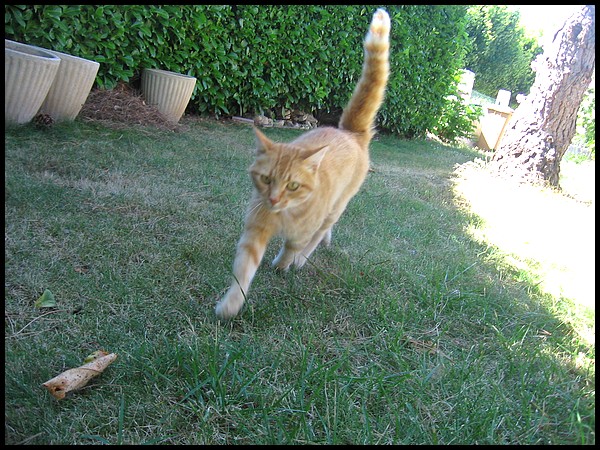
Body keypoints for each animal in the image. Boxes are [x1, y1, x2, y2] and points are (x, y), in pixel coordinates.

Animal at [214, 6, 390, 316]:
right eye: (267, 179)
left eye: (293, 185)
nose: (273, 199)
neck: (284, 215)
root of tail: (349, 132)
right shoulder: (255, 230)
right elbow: (243, 269)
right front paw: (231, 304)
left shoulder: (301, 231)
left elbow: (294, 246)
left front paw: (283, 264)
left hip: (336, 206)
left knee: (317, 235)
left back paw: (300, 260)